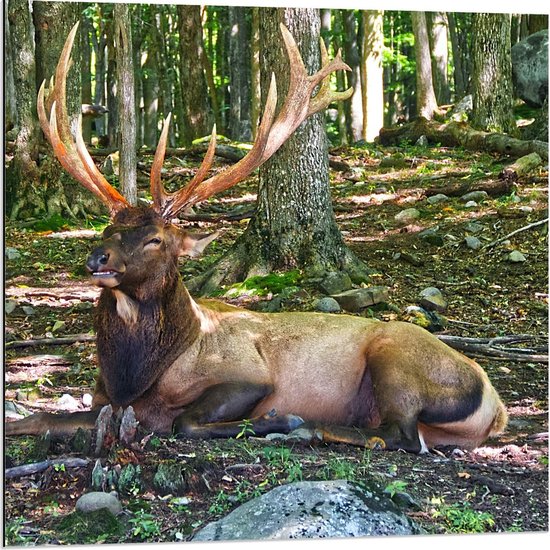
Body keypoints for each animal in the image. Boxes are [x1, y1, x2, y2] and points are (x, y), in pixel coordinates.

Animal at [6, 22, 512, 452]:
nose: (99, 258)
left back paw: (308, 427)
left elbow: (184, 421)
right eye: (109, 229)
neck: (135, 378)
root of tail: (496, 404)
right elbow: (37, 418)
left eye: (156, 239)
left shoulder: (250, 374)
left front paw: (277, 419)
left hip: (397, 358)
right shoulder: (102, 400)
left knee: (399, 434)